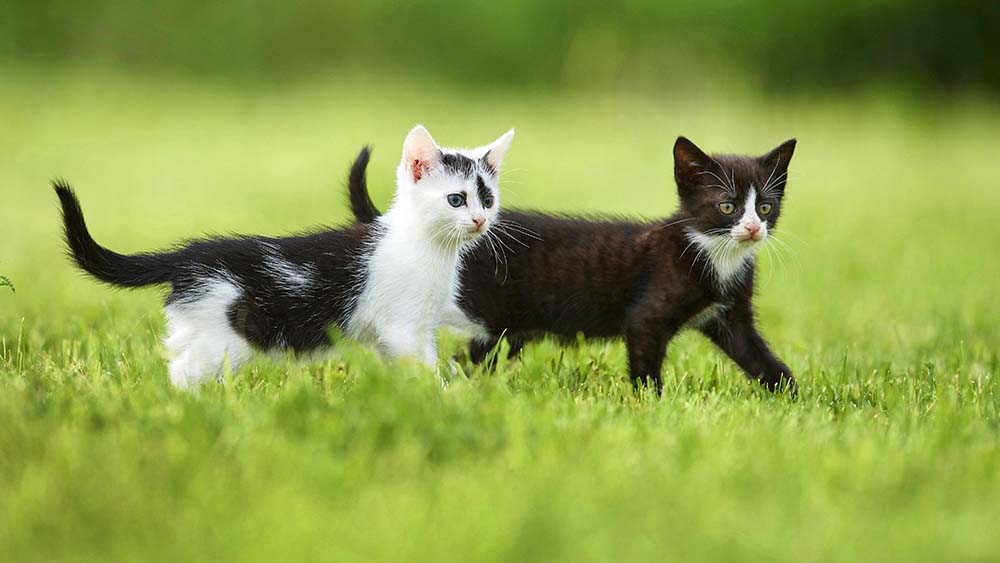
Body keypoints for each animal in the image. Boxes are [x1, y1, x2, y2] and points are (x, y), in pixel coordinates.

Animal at [54, 124, 516, 388]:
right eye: (456, 199)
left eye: (487, 199)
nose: (478, 220)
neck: (428, 247)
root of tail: (192, 253)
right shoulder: (403, 326)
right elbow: (422, 365)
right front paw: (443, 398)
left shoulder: (392, 333)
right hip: (229, 333)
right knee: (182, 372)